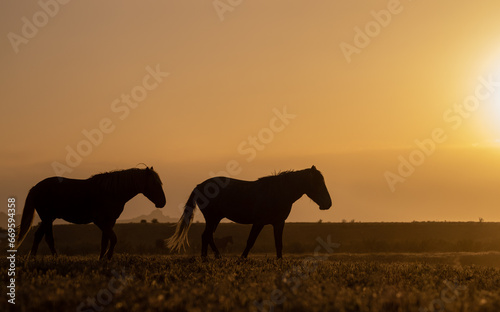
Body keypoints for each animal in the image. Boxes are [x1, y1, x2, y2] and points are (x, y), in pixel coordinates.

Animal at [16, 167, 166, 260]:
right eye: (154, 183)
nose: (162, 202)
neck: (112, 192)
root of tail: (35, 187)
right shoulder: (99, 221)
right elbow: (113, 238)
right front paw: (108, 257)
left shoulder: (110, 221)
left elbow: (105, 241)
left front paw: (101, 259)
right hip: (47, 218)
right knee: (48, 238)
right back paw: (55, 258)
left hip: (48, 218)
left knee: (38, 236)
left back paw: (33, 258)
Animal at [167, 166, 332, 258]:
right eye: (318, 183)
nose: (328, 204)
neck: (278, 192)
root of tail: (199, 186)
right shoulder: (259, 222)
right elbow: (250, 241)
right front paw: (242, 258)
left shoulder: (279, 223)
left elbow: (279, 244)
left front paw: (279, 261)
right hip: (212, 218)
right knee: (207, 236)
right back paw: (215, 257)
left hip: (215, 219)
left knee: (206, 236)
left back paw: (207, 257)